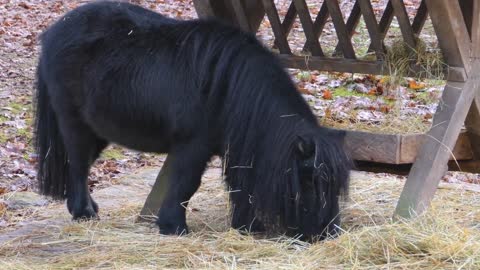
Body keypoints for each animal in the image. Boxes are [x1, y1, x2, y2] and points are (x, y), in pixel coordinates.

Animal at [33, 1, 348, 239]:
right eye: (310, 181)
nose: (329, 233)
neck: (229, 85)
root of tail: (52, 32)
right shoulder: (193, 146)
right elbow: (186, 184)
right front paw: (173, 226)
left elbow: (238, 184)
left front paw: (248, 226)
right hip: (75, 126)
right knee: (78, 167)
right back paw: (83, 213)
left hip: (99, 131)